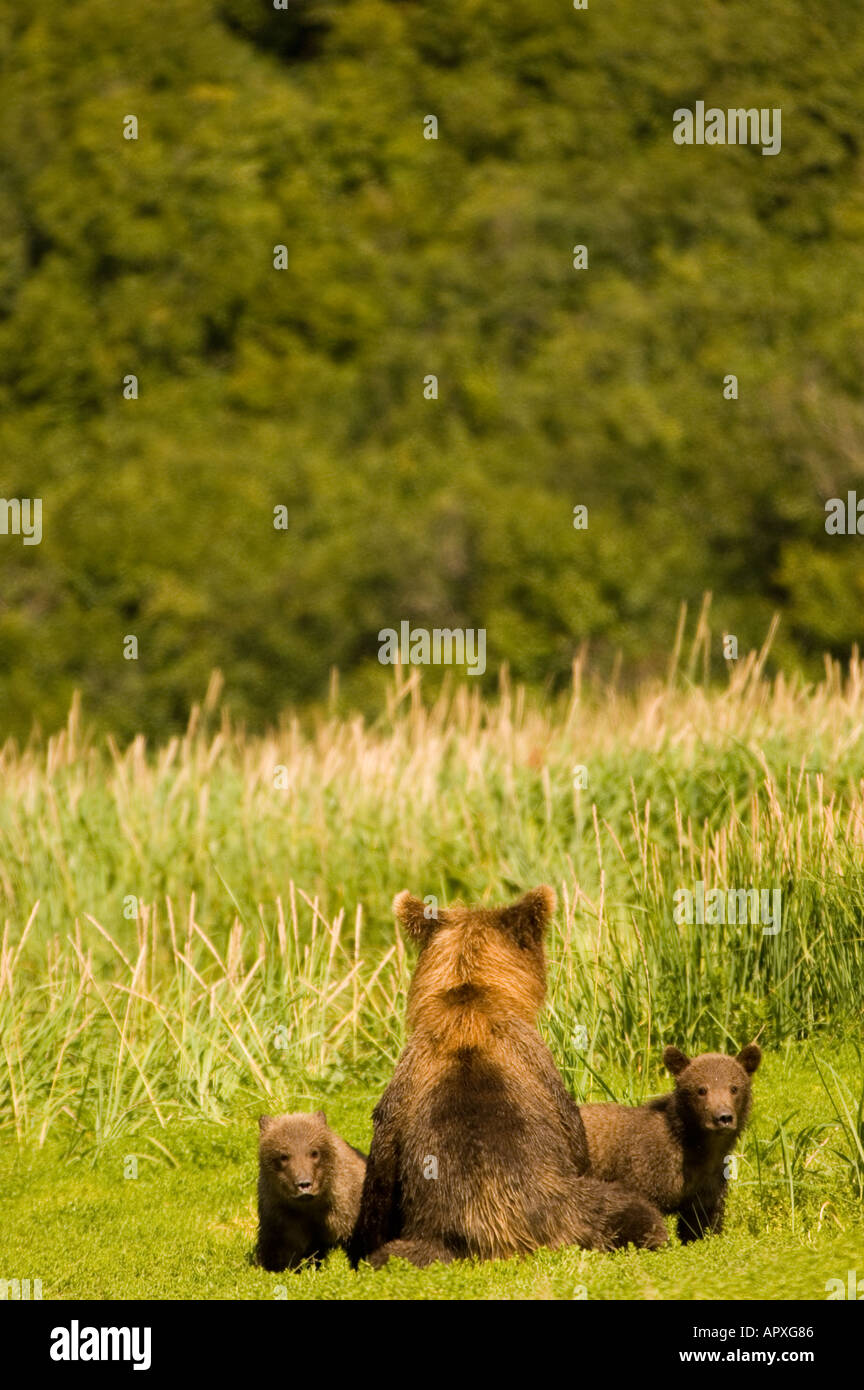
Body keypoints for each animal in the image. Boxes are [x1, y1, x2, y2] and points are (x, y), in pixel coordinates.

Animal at [347, 886, 669, 1268]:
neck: (469, 1002)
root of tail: (500, 1239)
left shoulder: (404, 1084)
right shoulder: (539, 1066)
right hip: (573, 1209)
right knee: (634, 1210)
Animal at [579, 1043, 762, 1243]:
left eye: (734, 1088)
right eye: (701, 1089)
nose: (723, 1117)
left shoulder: (709, 1186)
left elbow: (702, 1224)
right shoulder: (645, 1173)